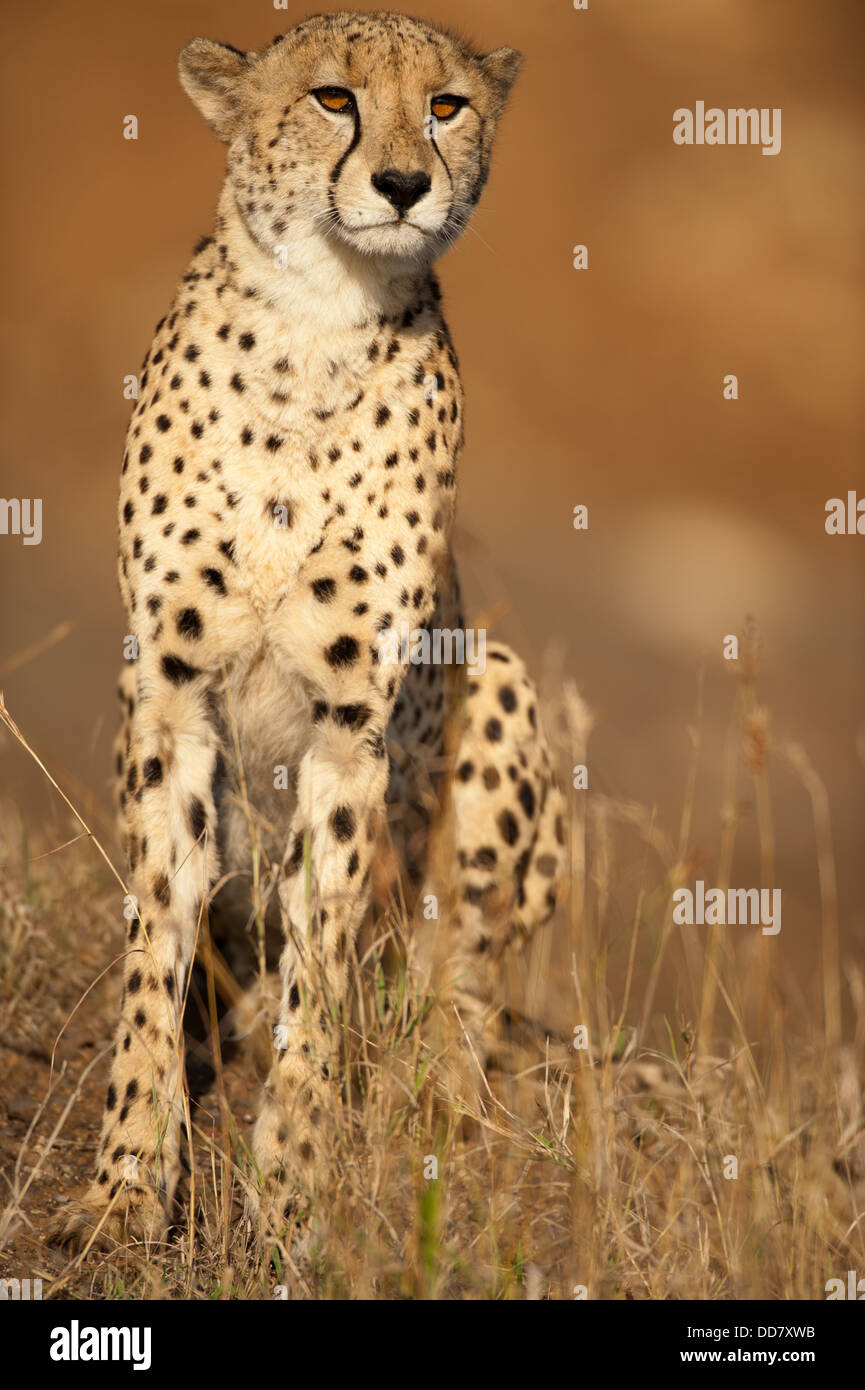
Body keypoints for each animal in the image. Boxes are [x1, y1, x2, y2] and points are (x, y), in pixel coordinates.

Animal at [54, 8, 570, 1251]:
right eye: (334, 98)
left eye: (444, 106)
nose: (402, 184)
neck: (316, 321)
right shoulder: (169, 693)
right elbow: (155, 934)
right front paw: (129, 1180)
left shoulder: (351, 728)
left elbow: (322, 959)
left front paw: (290, 1185)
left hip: (497, 683)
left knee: (460, 983)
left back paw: (435, 1093)